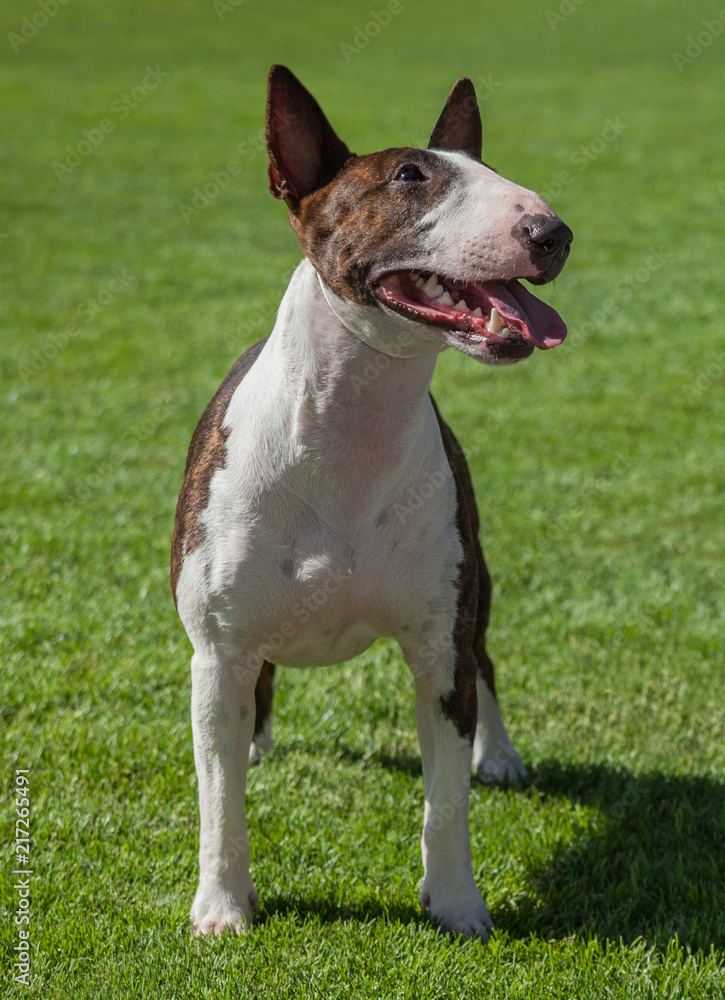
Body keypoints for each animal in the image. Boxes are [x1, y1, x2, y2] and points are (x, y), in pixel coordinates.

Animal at [170, 66, 572, 940]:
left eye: (488, 170)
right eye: (409, 177)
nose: (552, 232)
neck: (352, 422)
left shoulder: (437, 647)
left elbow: (445, 801)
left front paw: (456, 904)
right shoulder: (216, 649)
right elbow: (219, 801)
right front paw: (222, 908)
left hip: (474, 583)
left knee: (485, 658)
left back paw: (499, 755)